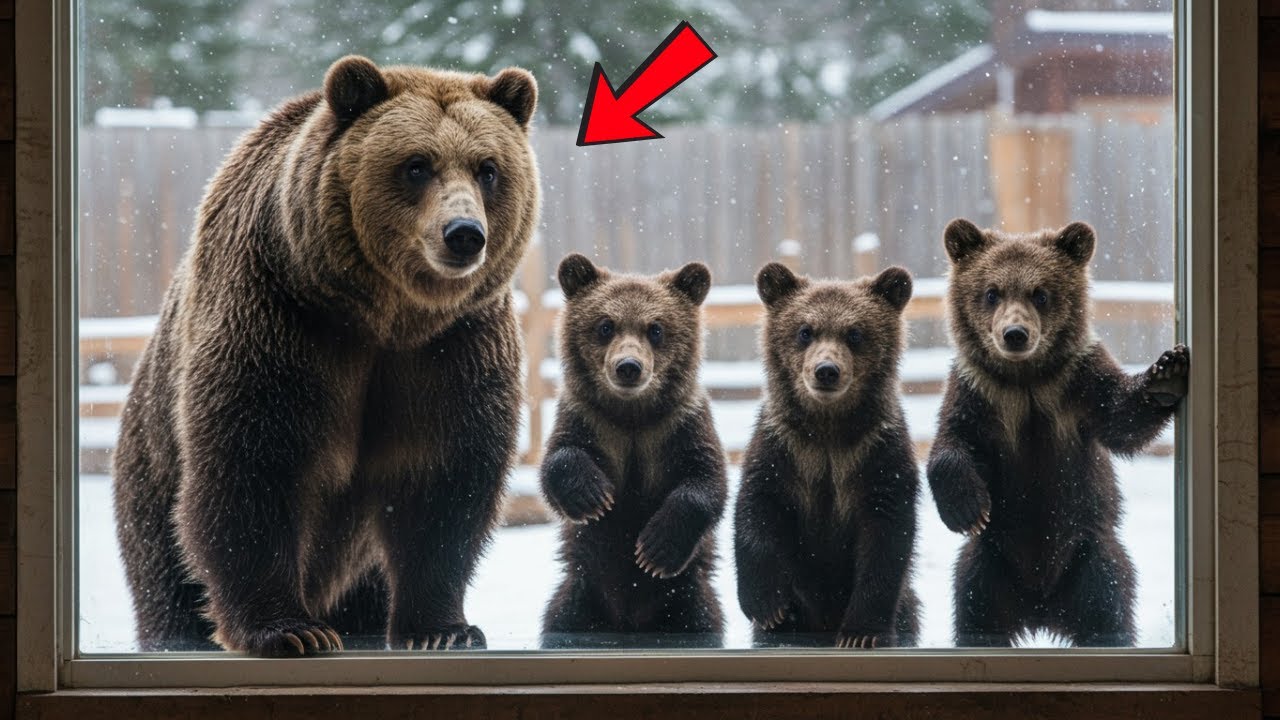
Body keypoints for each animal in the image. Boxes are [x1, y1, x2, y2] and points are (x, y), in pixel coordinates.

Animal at [112, 55, 540, 656]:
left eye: (488, 169)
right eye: (416, 165)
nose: (463, 234)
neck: (384, 316)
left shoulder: (452, 347)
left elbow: (445, 481)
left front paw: (443, 629)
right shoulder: (281, 322)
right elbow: (251, 466)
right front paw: (291, 630)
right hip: (150, 469)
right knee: (165, 573)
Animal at [538, 253, 727, 645]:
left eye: (655, 328)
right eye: (605, 325)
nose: (628, 367)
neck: (632, 417)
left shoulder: (678, 426)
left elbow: (705, 478)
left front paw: (655, 548)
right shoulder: (589, 419)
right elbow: (558, 458)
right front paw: (592, 496)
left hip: (688, 601)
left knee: (703, 621)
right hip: (580, 593)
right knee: (560, 618)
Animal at [734, 262, 922, 649]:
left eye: (855, 333)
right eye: (805, 330)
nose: (826, 370)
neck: (828, 434)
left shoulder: (877, 454)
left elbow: (886, 536)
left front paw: (861, 632)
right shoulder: (784, 449)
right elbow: (756, 506)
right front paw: (766, 603)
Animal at [928, 218, 1190, 647]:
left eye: (1041, 293)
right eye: (991, 292)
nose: (1015, 333)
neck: (1026, 381)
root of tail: (1041, 611)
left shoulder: (1075, 382)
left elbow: (1122, 419)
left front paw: (1166, 370)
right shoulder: (979, 392)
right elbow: (953, 442)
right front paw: (967, 509)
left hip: (1089, 556)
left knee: (1108, 609)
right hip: (989, 564)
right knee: (975, 612)